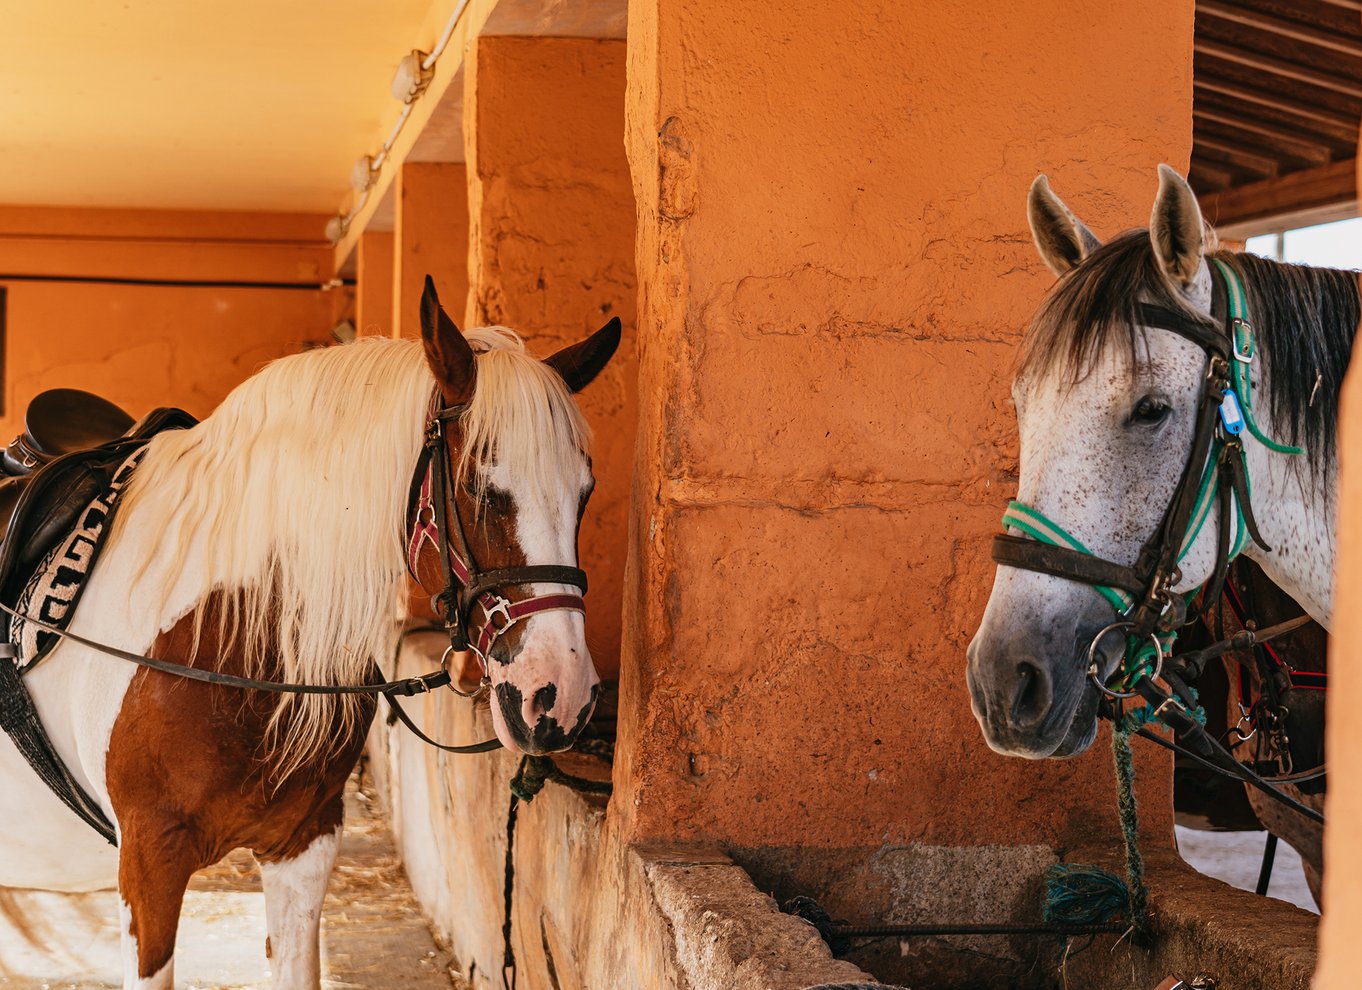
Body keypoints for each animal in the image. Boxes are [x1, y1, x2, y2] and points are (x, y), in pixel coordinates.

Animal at [0, 280, 618, 990]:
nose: (559, 694)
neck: (227, 641)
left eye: (585, 492)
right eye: (479, 488)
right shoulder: (149, 865)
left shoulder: (304, 844)